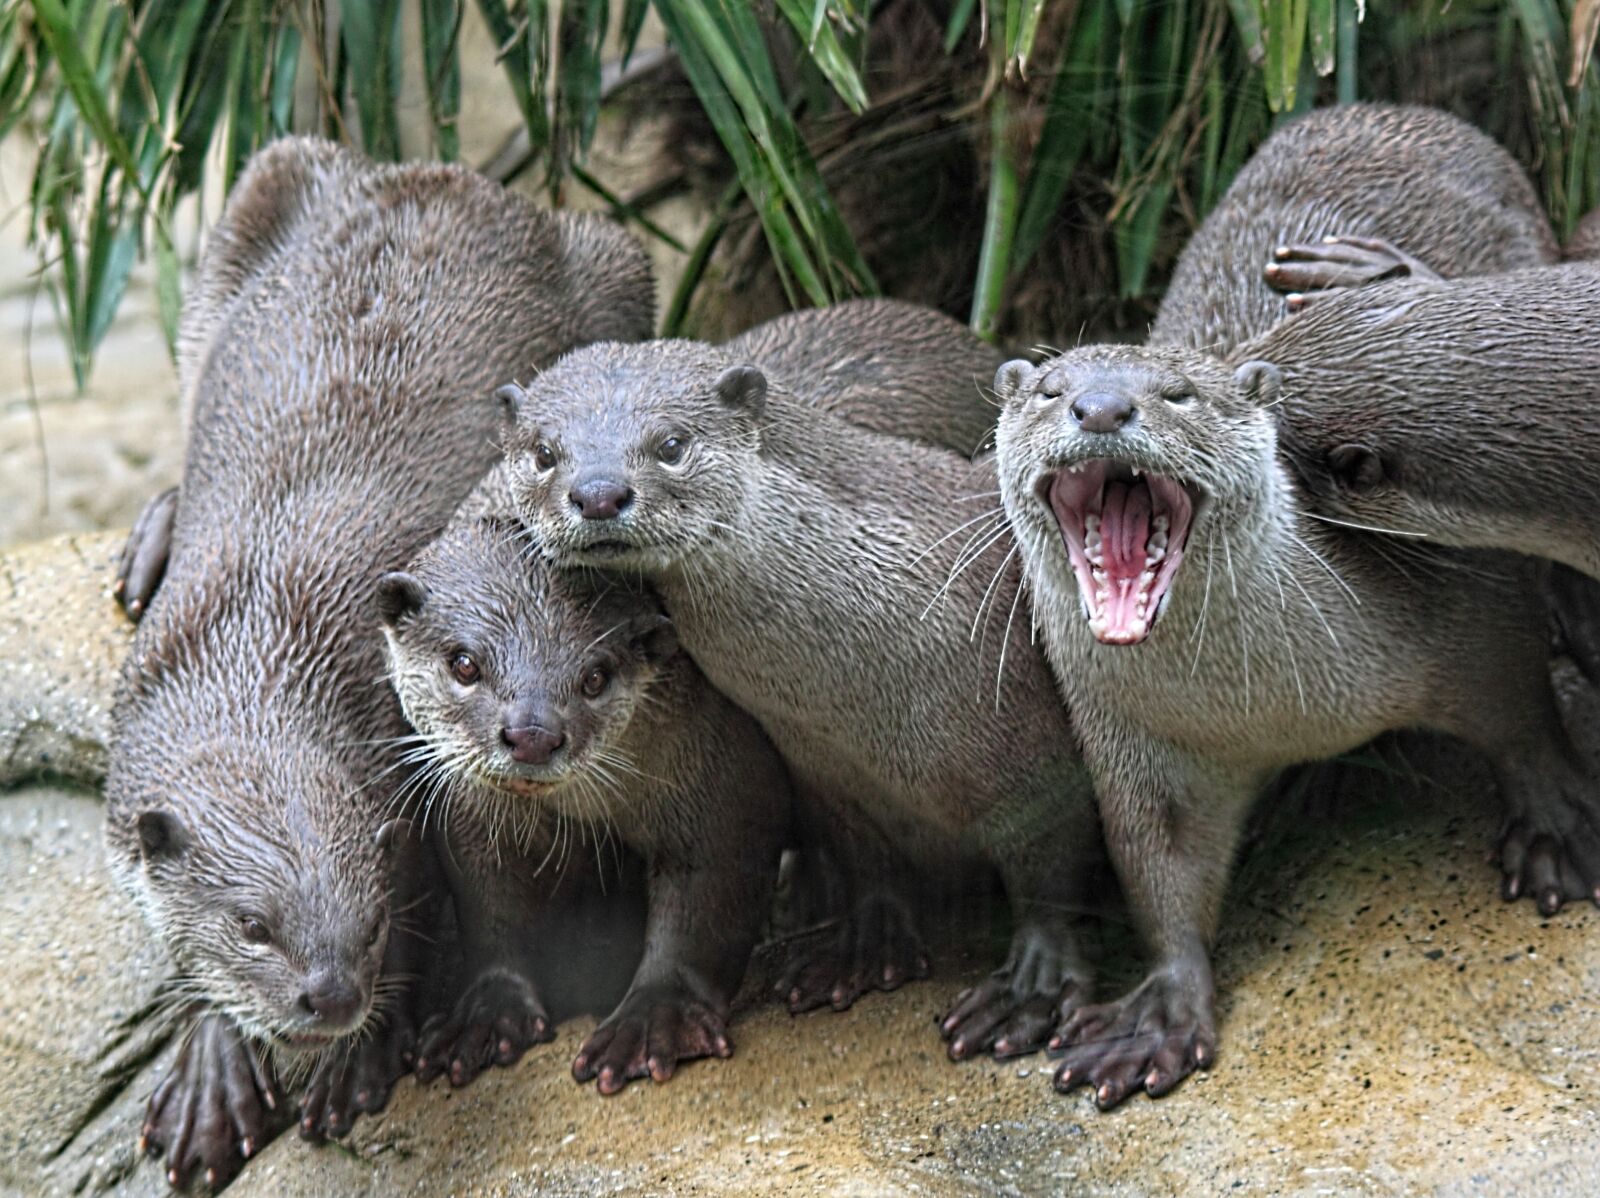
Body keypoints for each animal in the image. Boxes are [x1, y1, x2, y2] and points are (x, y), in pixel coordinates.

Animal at [106, 137, 652, 1188]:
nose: (330, 997)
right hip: (254, 199)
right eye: (253, 926)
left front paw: (361, 1059)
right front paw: (212, 1073)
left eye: (368, 924)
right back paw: (151, 534)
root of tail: (437, 169)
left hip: (618, 263)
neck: (258, 637)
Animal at [378, 467, 789, 1093]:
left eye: (595, 677)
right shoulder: (472, 816)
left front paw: (653, 1018)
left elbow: (704, 902)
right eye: (464, 663)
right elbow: (490, 904)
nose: (532, 733)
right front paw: (485, 1016)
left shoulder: (724, 774)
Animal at [496, 342, 1103, 1065]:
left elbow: (1050, 877)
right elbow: (867, 864)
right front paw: (859, 947)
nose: (598, 493)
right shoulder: (827, 776)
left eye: (672, 444)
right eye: (542, 451)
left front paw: (1031, 989)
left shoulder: (1040, 761)